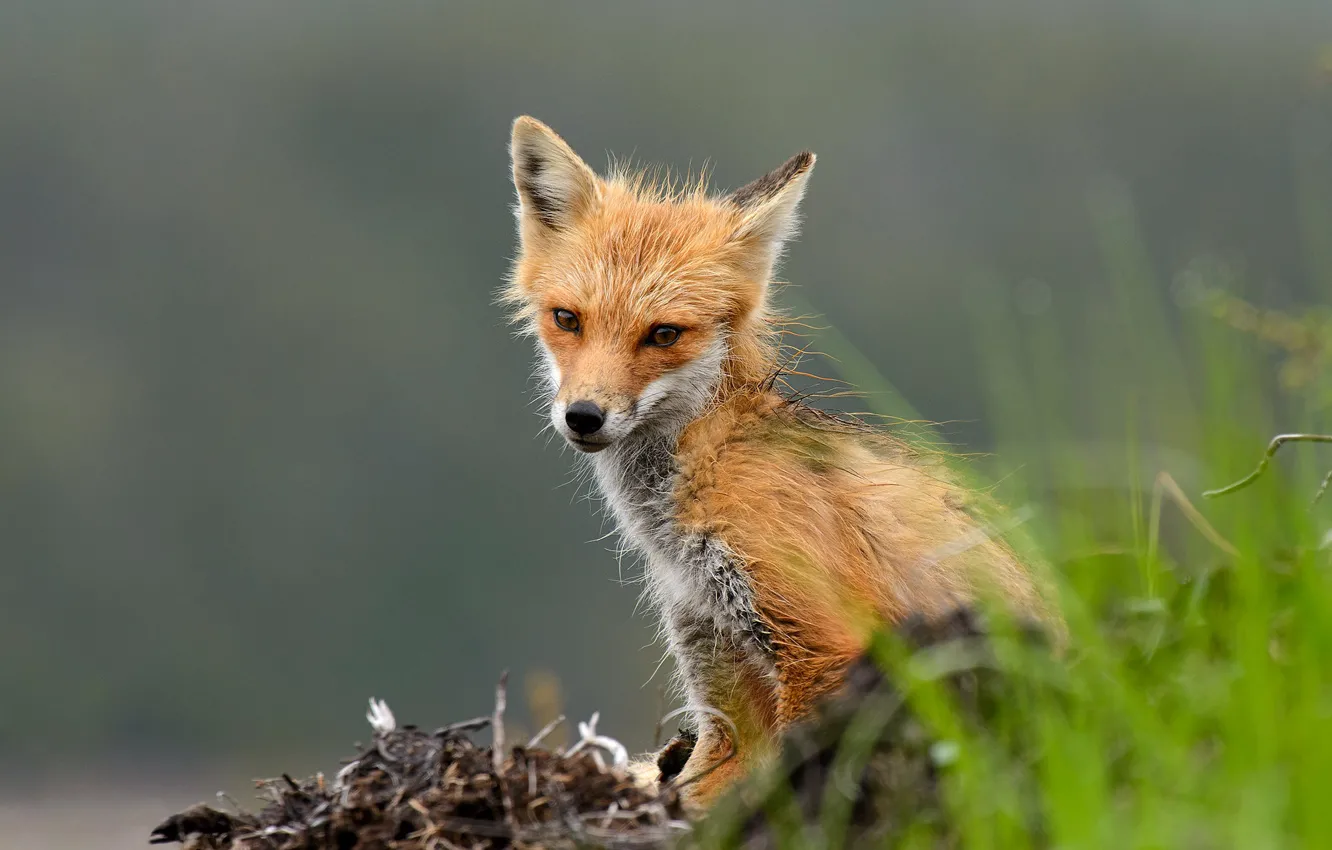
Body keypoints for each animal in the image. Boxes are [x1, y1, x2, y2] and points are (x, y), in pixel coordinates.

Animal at [502, 116, 1061, 806]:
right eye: (567, 319)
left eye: (664, 334)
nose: (583, 416)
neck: (706, 464)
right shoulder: (715, 664)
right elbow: (698, 790)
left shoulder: (825, 647)